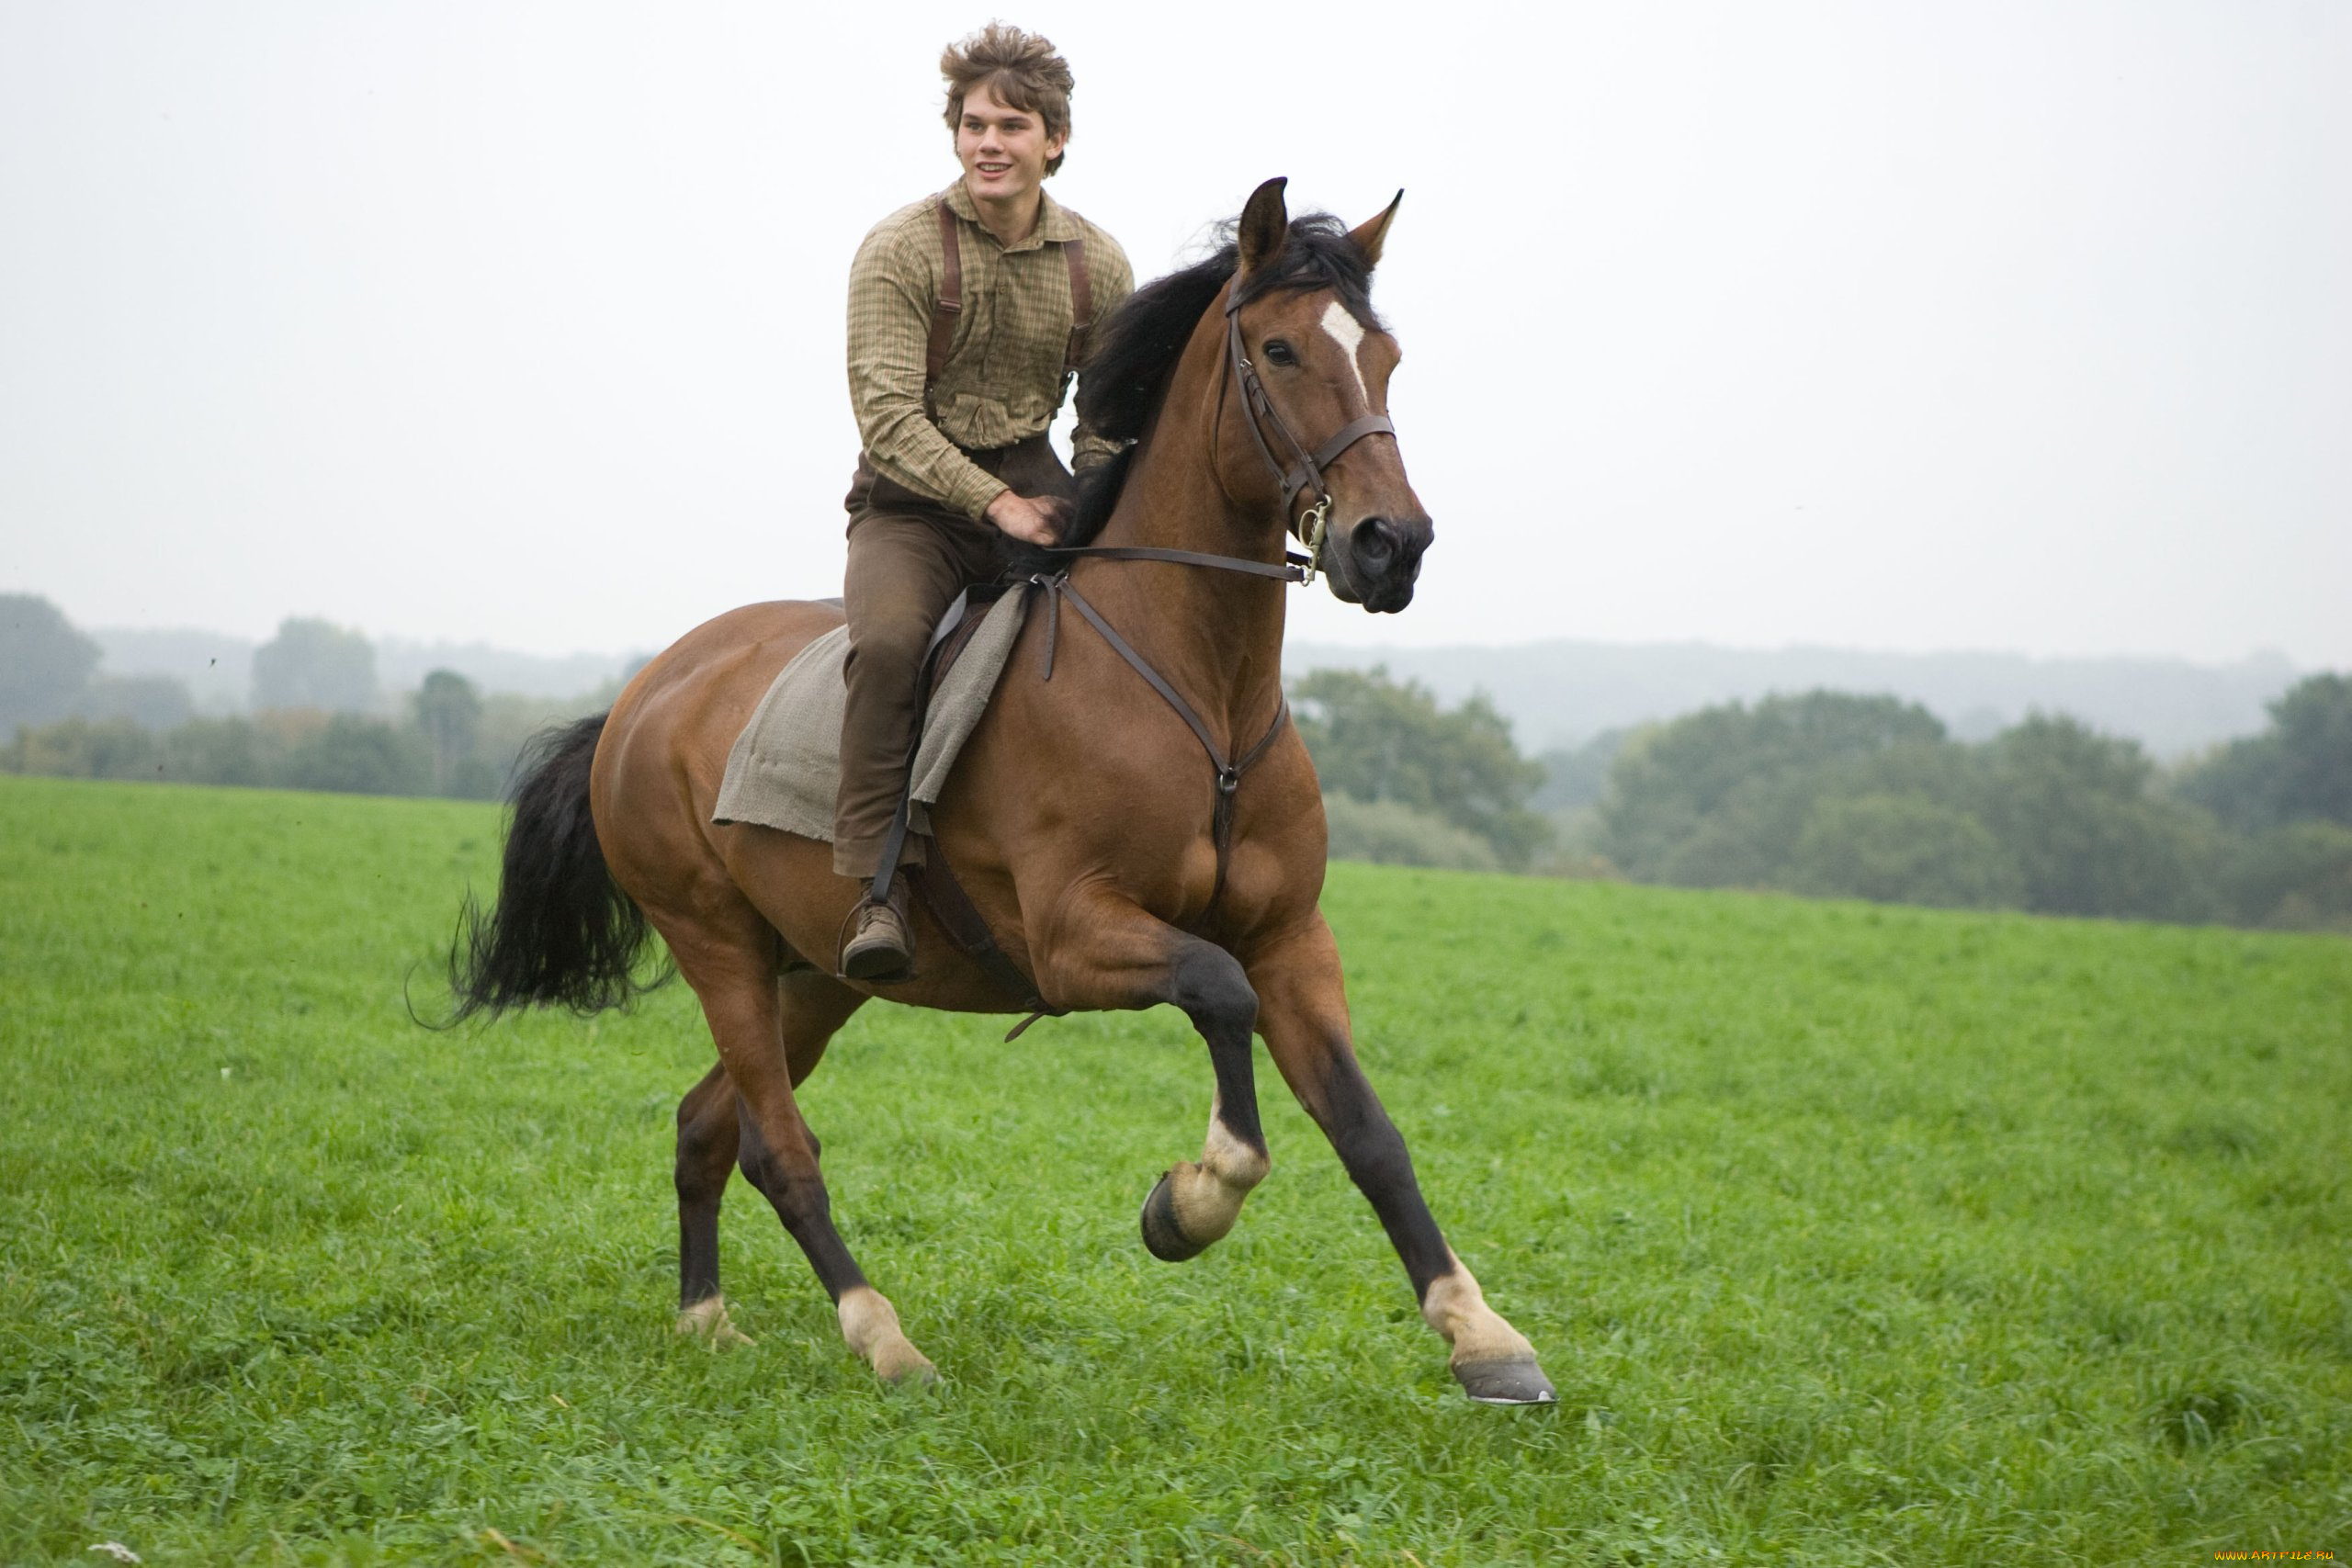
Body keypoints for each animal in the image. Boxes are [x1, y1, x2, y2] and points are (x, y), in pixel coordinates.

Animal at [446, 178, 1556, 1405]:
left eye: (1386, 357)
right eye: (1278, 349)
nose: (1390, 545)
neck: (1197, 693)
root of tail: (642, 694)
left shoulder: (1291, 937)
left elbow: (1368, 1131)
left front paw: (1484, 1338)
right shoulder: (1077, 937)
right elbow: (1219, 1001)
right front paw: (1190, 1202)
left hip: (819, 973)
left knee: (707, 1127)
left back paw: (707, 1320)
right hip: (716, 946)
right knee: (780, 1149)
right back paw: (883, 1339)